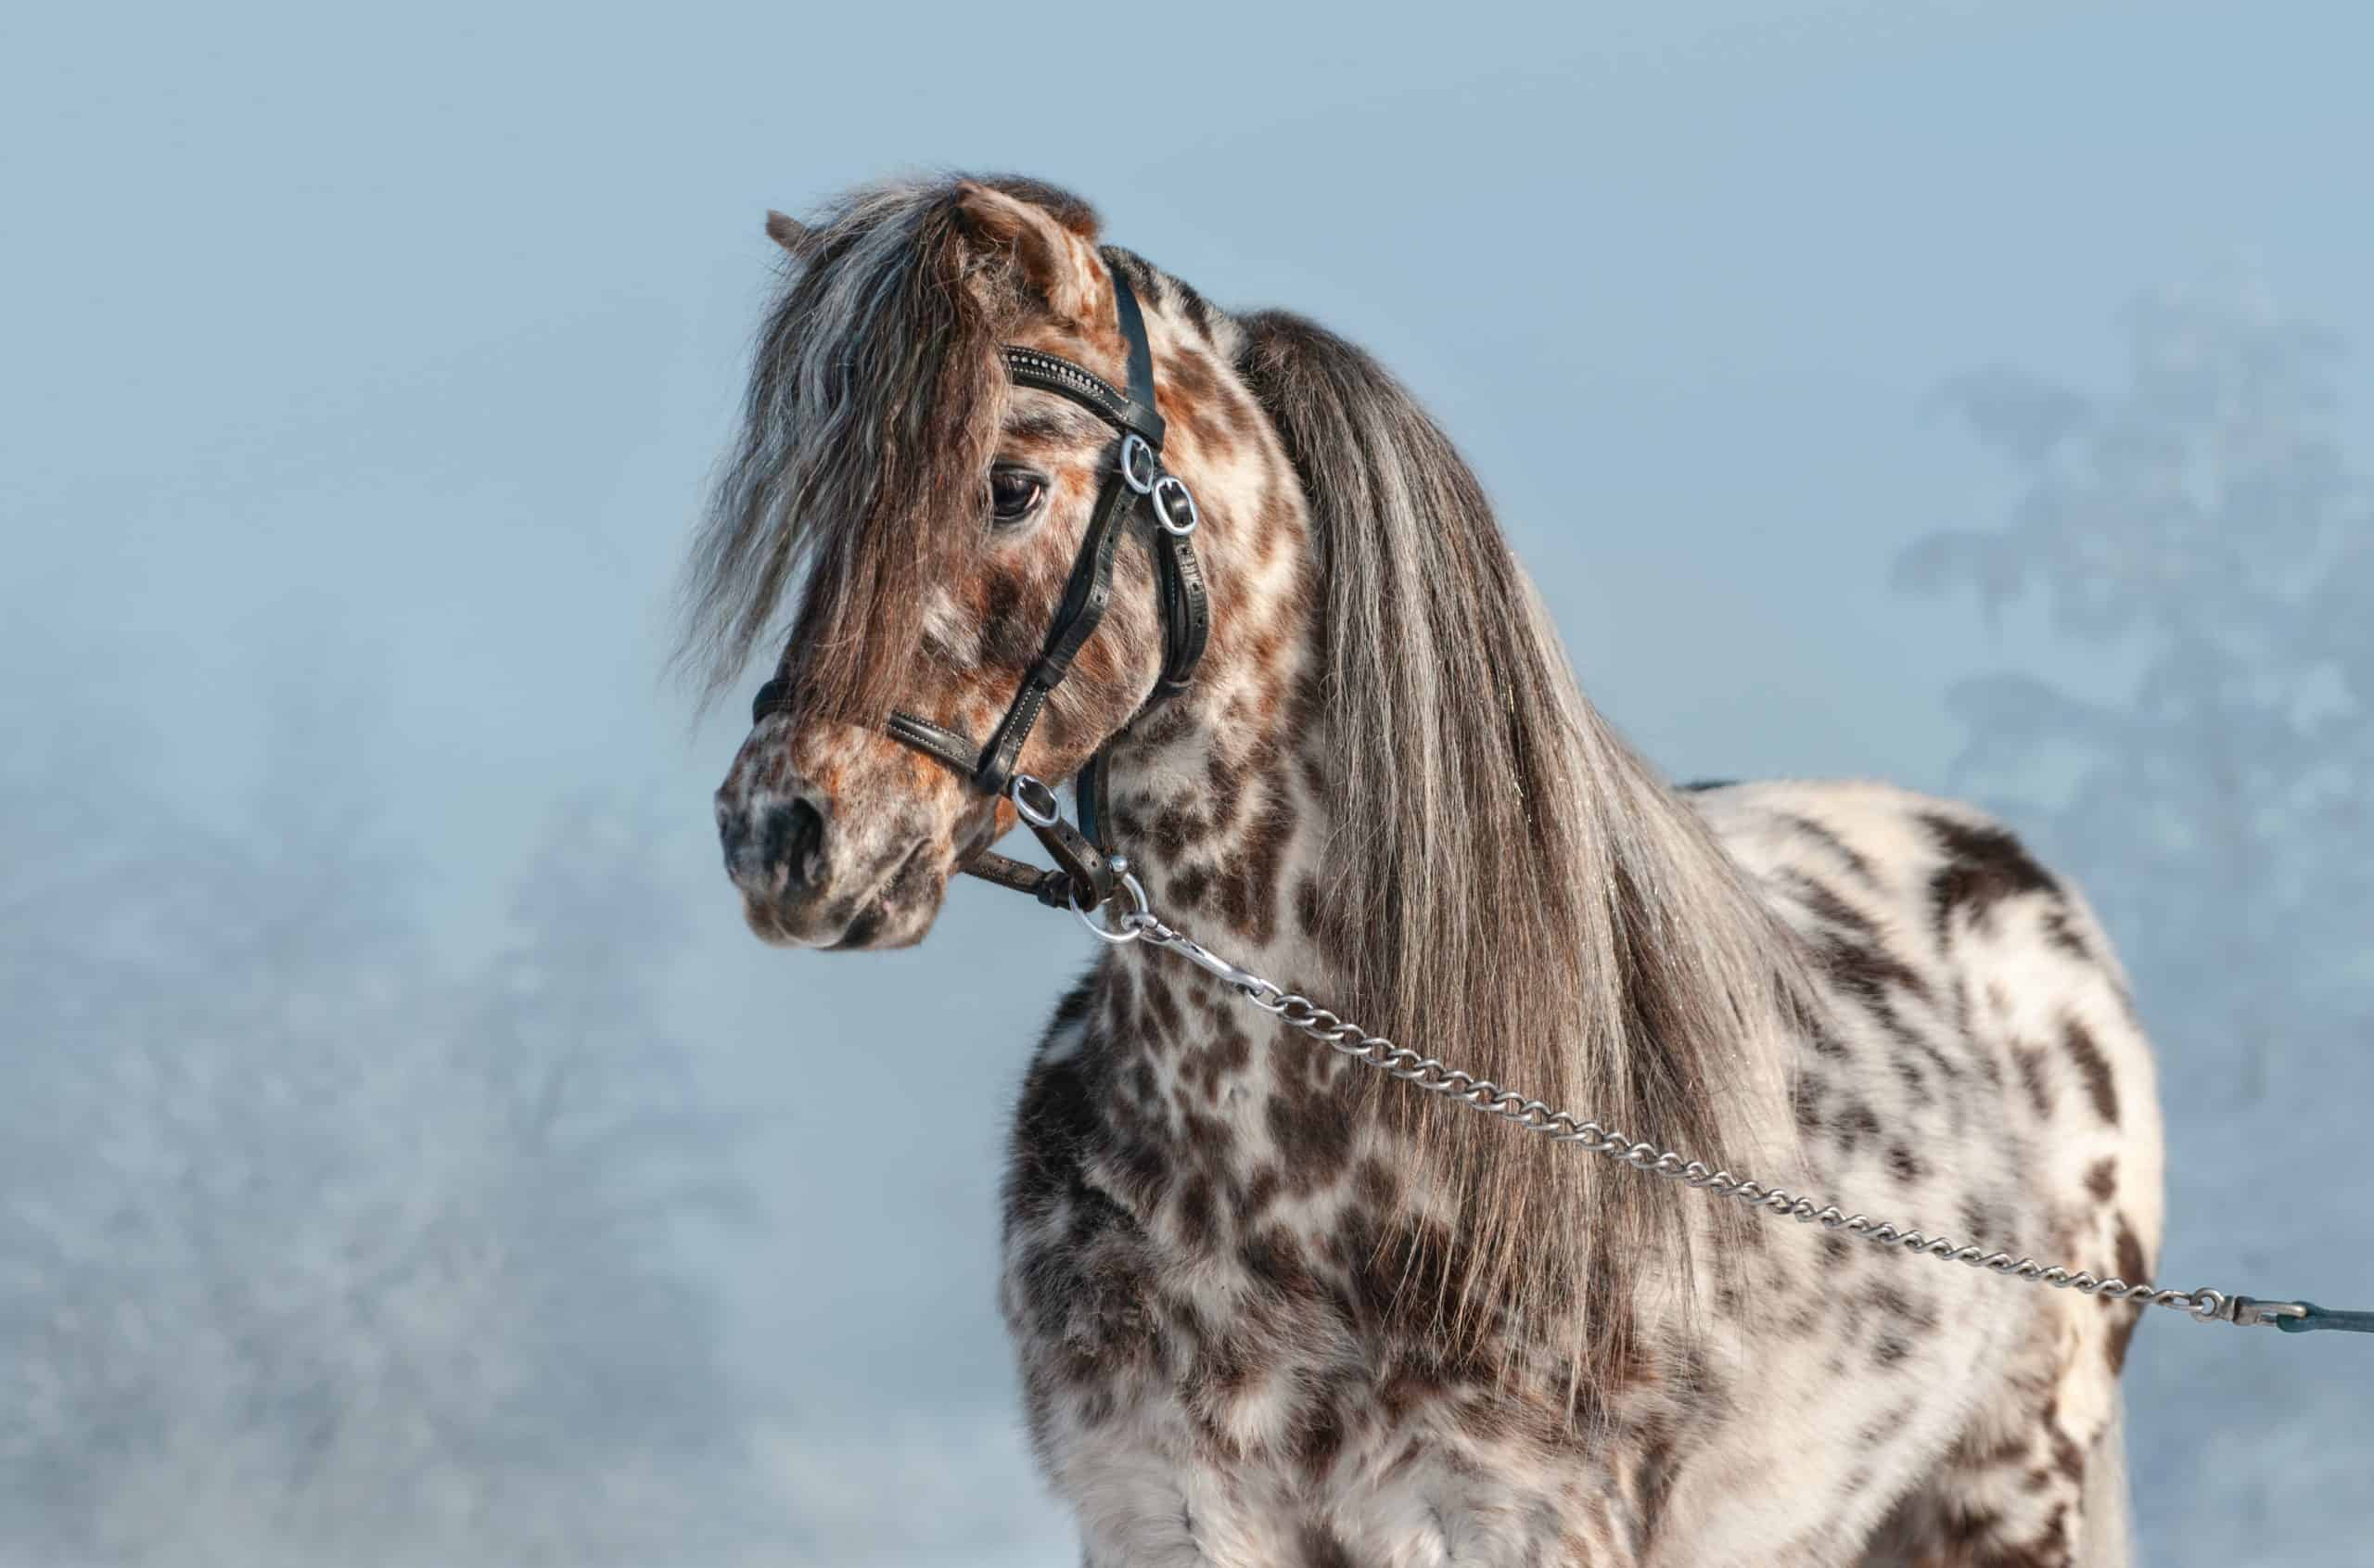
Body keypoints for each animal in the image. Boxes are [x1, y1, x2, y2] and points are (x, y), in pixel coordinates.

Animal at [679, 177, 2193, 1565]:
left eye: (1009, 484)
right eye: (824, 507)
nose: (780, 830)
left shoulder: (1508, 1517)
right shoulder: (1169, 1508)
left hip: (2007, 1495)